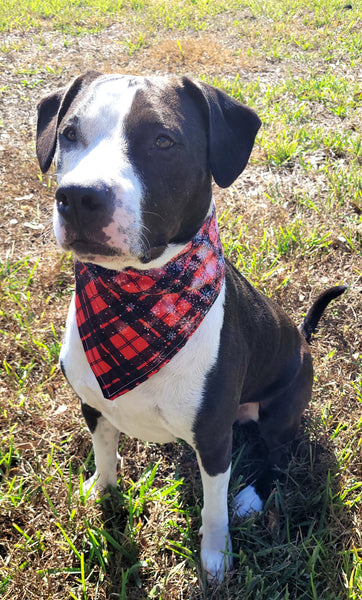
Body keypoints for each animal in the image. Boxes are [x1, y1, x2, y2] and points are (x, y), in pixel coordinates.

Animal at [36, 70, 346, 580]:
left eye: (163, 140)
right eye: (69, 134)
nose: (78, 196)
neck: (137, 306)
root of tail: (302, 339)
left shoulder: (215, 439)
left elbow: (213, 508)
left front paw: (216, 558)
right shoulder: (93, 406)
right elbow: (103, 454)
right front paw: (102, 493)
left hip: (282, 409)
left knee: (277, 457)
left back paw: (252, 496)